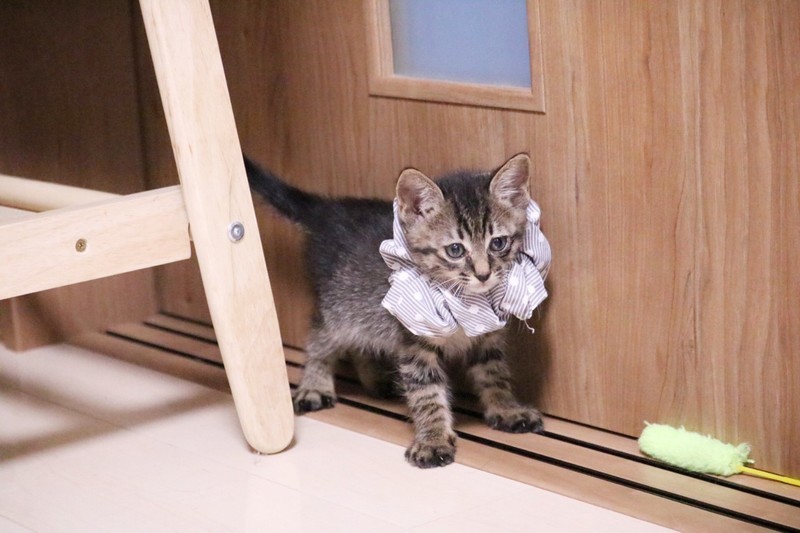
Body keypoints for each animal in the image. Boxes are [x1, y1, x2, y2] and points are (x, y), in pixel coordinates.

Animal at [245, 153, 546, 468]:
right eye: (455, 250)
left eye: (498, 243)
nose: (484, 274)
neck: (464, 301)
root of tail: (329, 209)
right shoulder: (414, 342)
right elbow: (427, 393)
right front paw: (433, 439)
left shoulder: (486, 337)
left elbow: (493, 373)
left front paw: (506, 408)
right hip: (337, 306)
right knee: (320, 338)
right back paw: (315, 385)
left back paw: (376, 379)